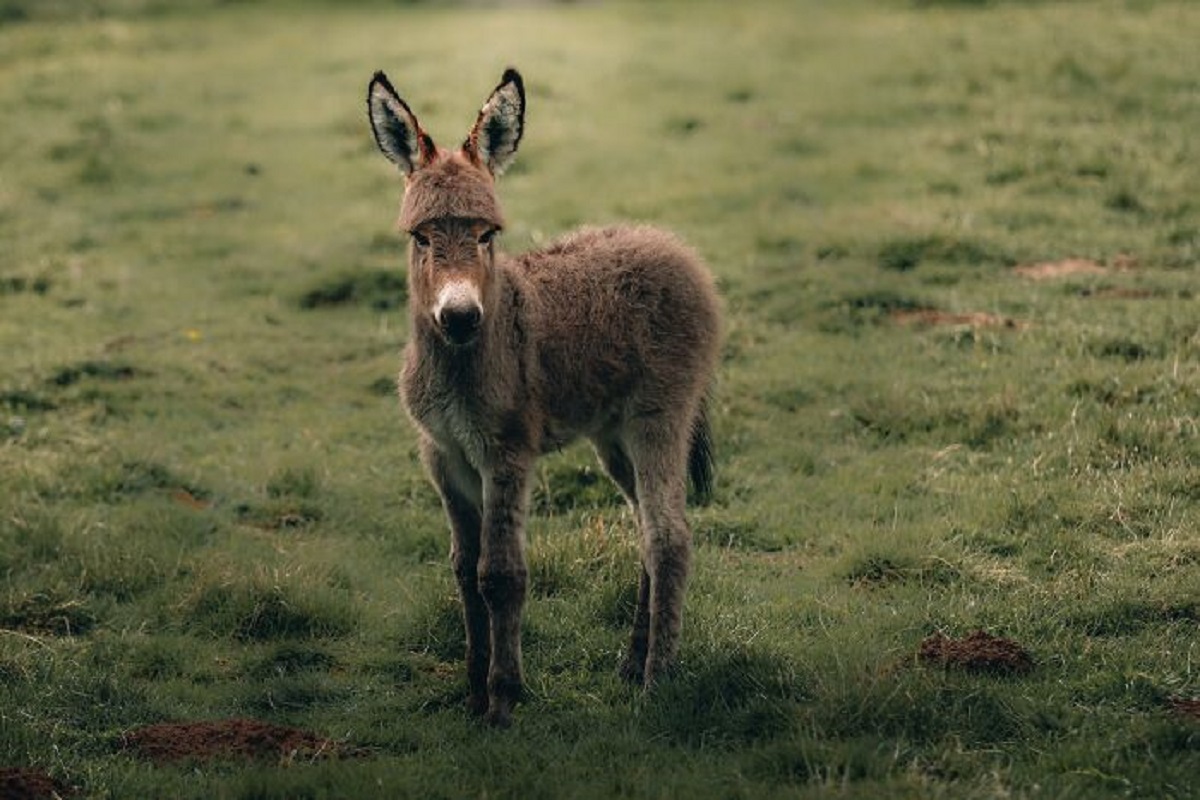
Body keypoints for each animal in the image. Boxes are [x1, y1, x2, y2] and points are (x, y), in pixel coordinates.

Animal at [364, 68, 720, 729]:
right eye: (421, 237)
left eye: (488, 234)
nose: (459, 317)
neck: (464, 361)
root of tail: (673, 245)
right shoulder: (442, 455)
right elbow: (463, 569)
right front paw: (473, 691)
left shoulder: (505, 454)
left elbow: (500, 574)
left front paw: (503, 701)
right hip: (612, 436)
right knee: (644, 527)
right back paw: (632, 662)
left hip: (659, 416)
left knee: (670, 536)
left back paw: (658, 683)